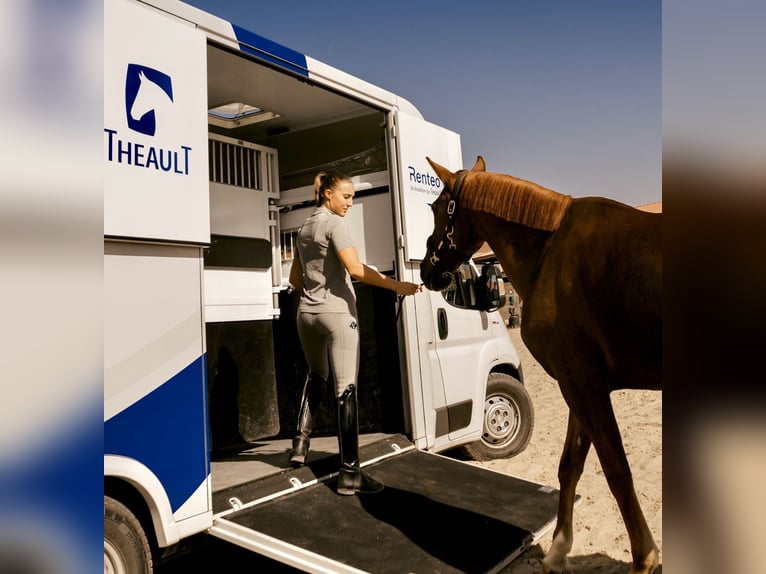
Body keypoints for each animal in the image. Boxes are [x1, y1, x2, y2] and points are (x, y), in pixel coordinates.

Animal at [420, 156, 661, 574]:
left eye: (436, 208)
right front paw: (558, 549)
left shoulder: (582, 385)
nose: (425, 270)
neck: (549, 251)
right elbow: (570, 466)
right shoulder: (578, 384)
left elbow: (616, 470)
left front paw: (644, 558)